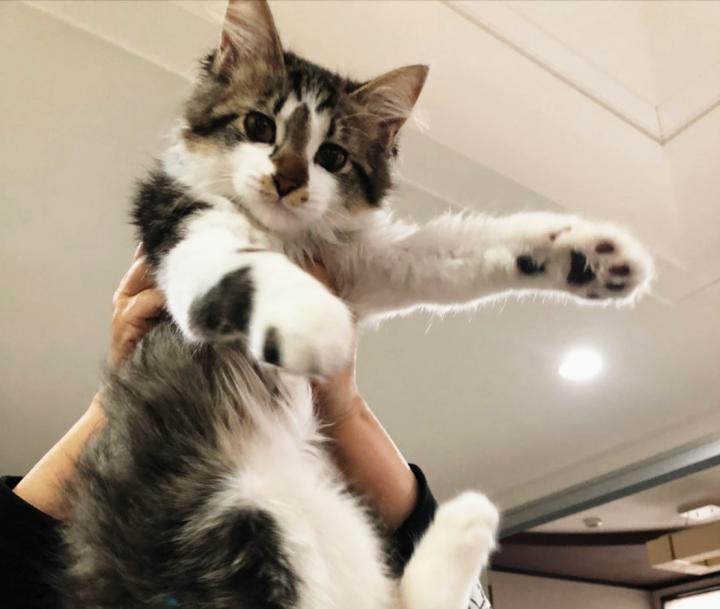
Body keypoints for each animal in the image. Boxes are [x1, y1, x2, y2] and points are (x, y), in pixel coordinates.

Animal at [60, 1, 653, 608]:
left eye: (332, 156)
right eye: (259, 126)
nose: (287, 179)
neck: (287, 237)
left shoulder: (369, 265)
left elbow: (463, 249)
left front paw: (589, 256)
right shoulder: (178, 228)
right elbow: (238, 264)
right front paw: (312, 320)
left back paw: (467, 521)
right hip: (240, 519)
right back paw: (468, 520)